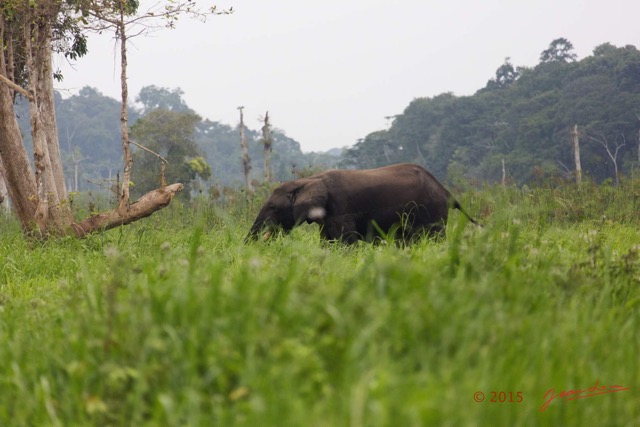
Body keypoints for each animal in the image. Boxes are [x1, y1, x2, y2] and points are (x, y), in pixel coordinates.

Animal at [248, 164, 478, 244]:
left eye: (272, 207)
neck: (308, 180)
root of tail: (446, 191)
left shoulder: (342, 209)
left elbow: (345, 243)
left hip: (432, 210)